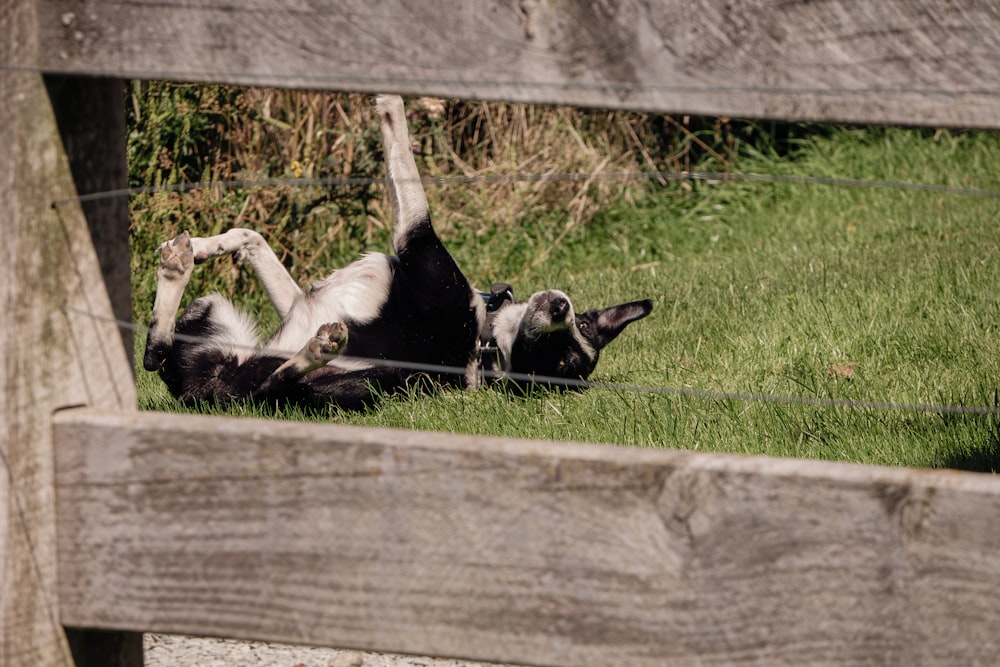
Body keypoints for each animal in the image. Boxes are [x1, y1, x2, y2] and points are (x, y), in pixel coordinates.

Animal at [145, 96, 652, 410]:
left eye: (562, 361)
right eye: (580, 326)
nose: (562, 307)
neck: (484, 335)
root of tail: (208, 392)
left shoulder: (418, 239)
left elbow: (408, 166)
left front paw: (390, 100)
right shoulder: (298, 303)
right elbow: (255, 239)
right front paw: (215, 243)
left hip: (360, 385)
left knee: (259, 383)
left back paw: (314, 349)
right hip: (212, 311)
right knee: (163, 352)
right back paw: (181, 264)